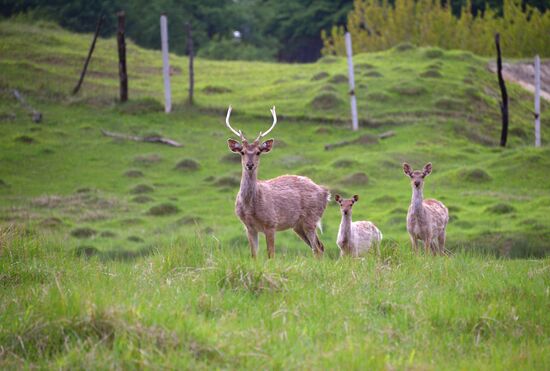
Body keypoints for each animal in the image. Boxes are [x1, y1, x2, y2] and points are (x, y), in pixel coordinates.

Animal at [225, 107, 330, 258]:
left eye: (258, 152)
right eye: (242, 152)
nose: (250, 165)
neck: (250, 208)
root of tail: (326, 193)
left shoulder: (271, 223)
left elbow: (271, 255)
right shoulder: (249, 227)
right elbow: (254, 255)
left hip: (311, 218)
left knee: (317, 248)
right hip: (297, 225)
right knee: (319, 245)